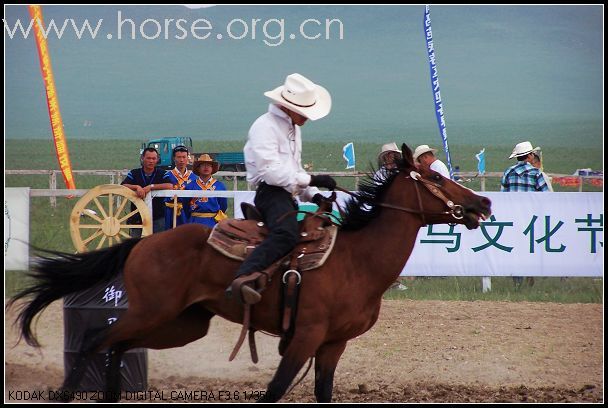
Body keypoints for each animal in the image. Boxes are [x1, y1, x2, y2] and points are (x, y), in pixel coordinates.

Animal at [9, 143, 492, 402]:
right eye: (436, 178)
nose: (483, 203)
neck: (358, 260)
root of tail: (143, 242)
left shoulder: (332, 345)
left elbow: (322, 392)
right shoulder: (305, 336)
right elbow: (274, 390)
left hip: (181, 323)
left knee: (117, 345)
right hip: (154, 313)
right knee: (96, 339)